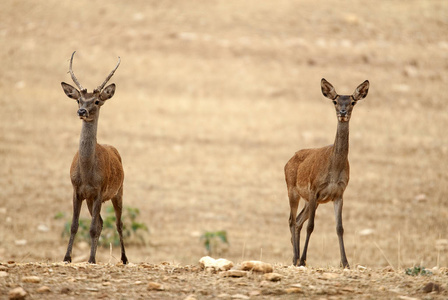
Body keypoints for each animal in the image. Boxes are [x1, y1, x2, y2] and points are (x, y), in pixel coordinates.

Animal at [60, 51, 128, 264]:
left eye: (96, 101)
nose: (82, 111)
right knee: (101, 222)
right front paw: (67, 257)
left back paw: (124, 258)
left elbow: (91, 228)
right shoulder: (76, 190)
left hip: (118, 191)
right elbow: (74, 225)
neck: (87, 174)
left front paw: (90, 259)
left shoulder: (99, 190)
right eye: (78, 100)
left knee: (118, 223)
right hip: (91, 199)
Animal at [286, 77, 370, 268]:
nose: (343, 112)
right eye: (335, 101)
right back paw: (295, 259)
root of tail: (288, 161)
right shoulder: (314, 189)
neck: (334, 169)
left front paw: (345, 263)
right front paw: (304, 259)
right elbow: (311, 226)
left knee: (298, 221)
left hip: (310, 201)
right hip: (293, 190)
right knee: (292, 220)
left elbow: (339, 228)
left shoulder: (339, 193)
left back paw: (296, 257)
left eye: (352, 101)